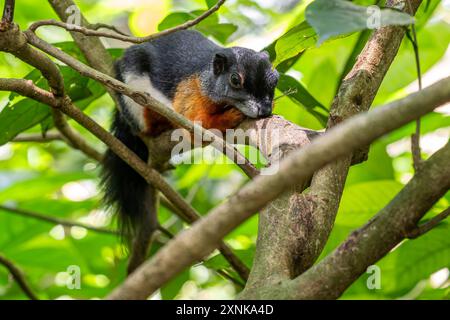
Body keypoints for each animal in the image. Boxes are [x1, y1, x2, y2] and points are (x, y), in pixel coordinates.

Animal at [100, 28, 280, 272]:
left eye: (276, 79)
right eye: (235, 80)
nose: (265, 110)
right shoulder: (188, 94)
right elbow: (198, 124)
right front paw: (231, 115)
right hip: (133, 96)